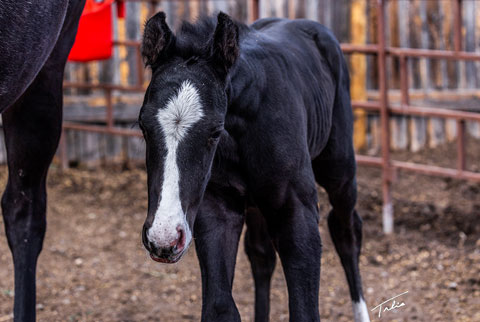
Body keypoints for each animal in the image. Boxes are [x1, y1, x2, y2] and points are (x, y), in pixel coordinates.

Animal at [139, 11, 372, 320]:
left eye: (215, 131)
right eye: (143, 126)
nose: (163, 239)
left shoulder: (297, 211)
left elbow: (305, 310)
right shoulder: (217, 209)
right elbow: (220, 306)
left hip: (340, 171)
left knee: (347, 231)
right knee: (262, 255)